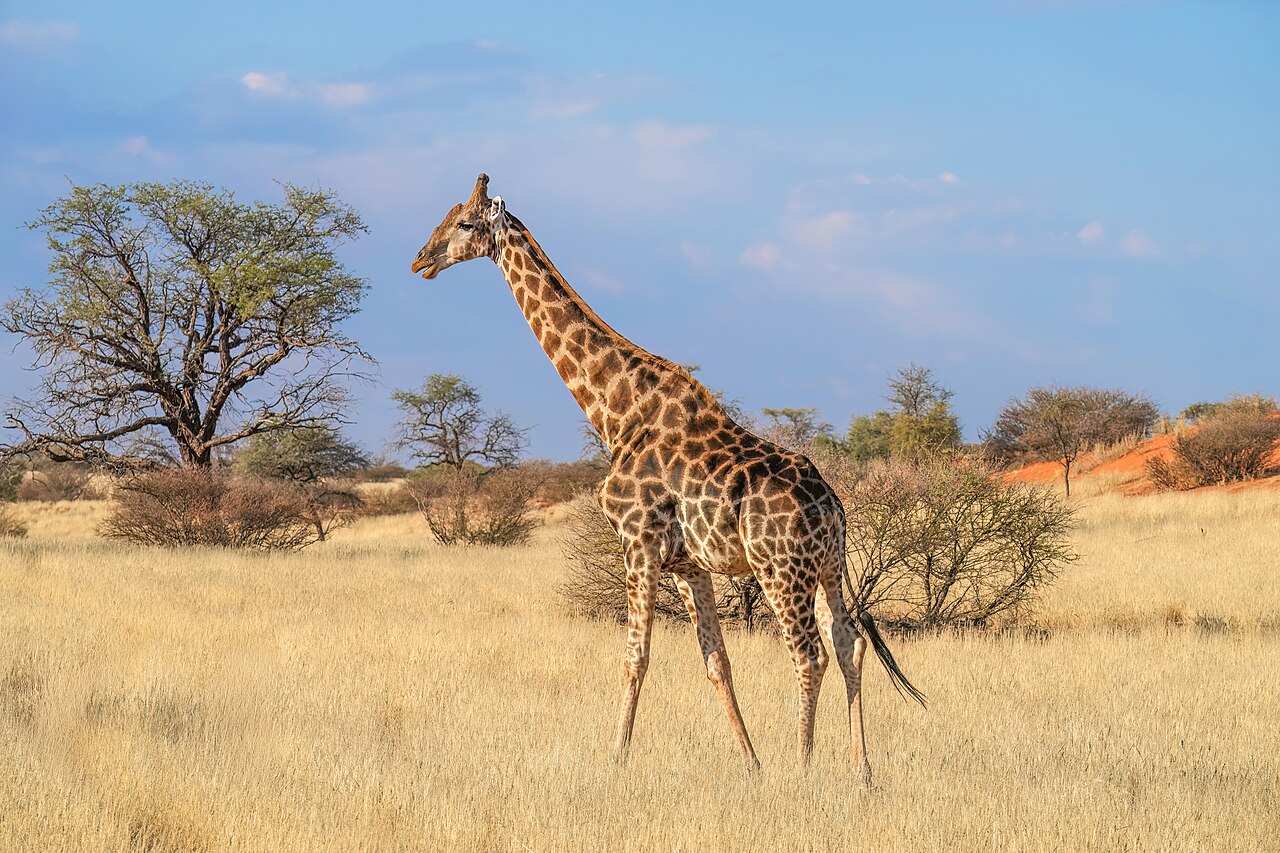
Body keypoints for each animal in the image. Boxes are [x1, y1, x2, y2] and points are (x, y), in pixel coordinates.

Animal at [411, 174, 924, 780]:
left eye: (464, 223)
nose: (421, 260)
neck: (615, 412)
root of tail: (832, 507)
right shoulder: (688, 564)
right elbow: (716, 662)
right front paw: (751, 763)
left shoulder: (637, 542)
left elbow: (636, 656)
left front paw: (615, 757)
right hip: (826, 569)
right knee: (849, 644)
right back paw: (861, 770)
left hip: (780, 570)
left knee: (809, 653)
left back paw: (803, 765)